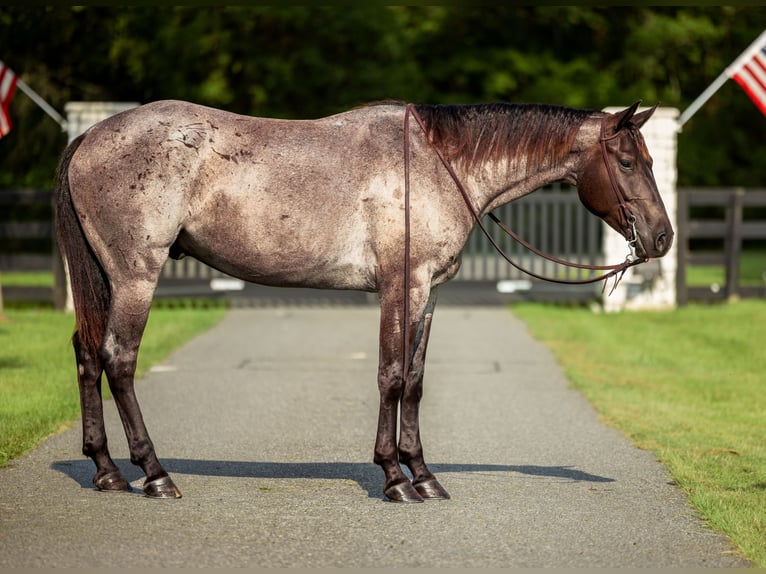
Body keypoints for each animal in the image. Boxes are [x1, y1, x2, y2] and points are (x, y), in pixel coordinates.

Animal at [55, 99, 673, 503]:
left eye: (647, 160)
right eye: (627, 162)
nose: (663, 237)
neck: (435, 164)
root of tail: (91, 136)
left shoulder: (429, 293)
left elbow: (416, 381)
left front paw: (424, 475)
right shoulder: (402, 288)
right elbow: (391, 376)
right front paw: (395, 479)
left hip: (107, 280)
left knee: (86, 354)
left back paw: (107, 470)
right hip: (136, 276)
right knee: (118, 360)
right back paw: (155, 474)